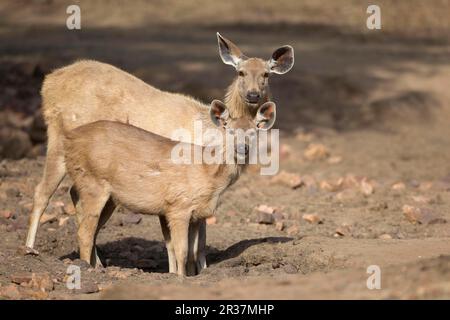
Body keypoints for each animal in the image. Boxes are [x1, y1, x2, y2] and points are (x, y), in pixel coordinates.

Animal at [63, 99, 274, 276]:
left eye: (254, 131)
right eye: (229, 130)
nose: (242, 148)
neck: (209, 174)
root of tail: (69, 138)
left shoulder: (195, 213)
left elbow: (191, 250)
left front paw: (186, 274)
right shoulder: (179, 206)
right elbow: (182, 250)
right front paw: (180, 278)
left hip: (108, 196)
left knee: (82, 211)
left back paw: (97, 265)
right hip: (94, 182)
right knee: (84, 231)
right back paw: (87, 269)